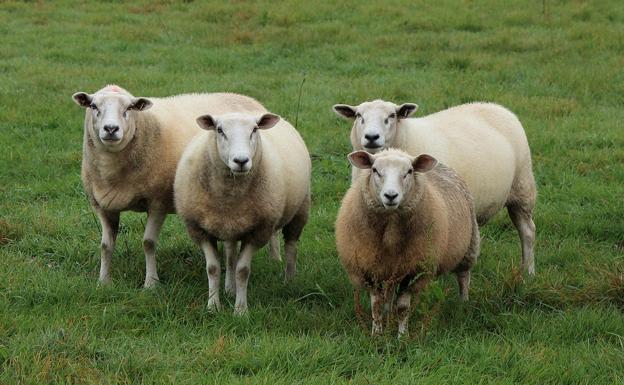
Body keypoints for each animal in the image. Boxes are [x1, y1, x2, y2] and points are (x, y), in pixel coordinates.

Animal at [71, 85, 272, 288]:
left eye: (129, 108)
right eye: (93, 106)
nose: (111, 129)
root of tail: (249, 100)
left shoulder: (158, 202)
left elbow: (148, 242)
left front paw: (151, 283)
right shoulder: (103, 206)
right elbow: (106, 245)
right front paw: (103, 281)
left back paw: (275, 261)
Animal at [174, 110, 310, 312]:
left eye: (254, 129)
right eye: (219, 130)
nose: (241, 161)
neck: (229, 197)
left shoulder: (259, 231)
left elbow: (243, 270)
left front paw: (240, 310)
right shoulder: (199, 229)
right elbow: (213, 268)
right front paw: (213, 306)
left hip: (300, 210)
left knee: (291, 247)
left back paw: (289, 283)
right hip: (230, 225)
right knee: (230, 254)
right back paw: (230, 288)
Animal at [332, 99, 536, 272]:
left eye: (392, 115)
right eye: (359, 116)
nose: (372, 137)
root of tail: (497, 106)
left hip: (523, 188)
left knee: (527, 231)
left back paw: (528, 272)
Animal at [336, 148, 478, 334]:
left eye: (409, 171)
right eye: (375, 170)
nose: (390, 196)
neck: (390, 233)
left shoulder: (414, 270)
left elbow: (403, 307)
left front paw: (402, 335)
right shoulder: (369, 269)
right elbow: (376, 305)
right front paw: (377, 333)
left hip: (469, 246)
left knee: (463, 277)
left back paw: (463, 303)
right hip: (390, 269)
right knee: (388, 294)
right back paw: (388, 313)